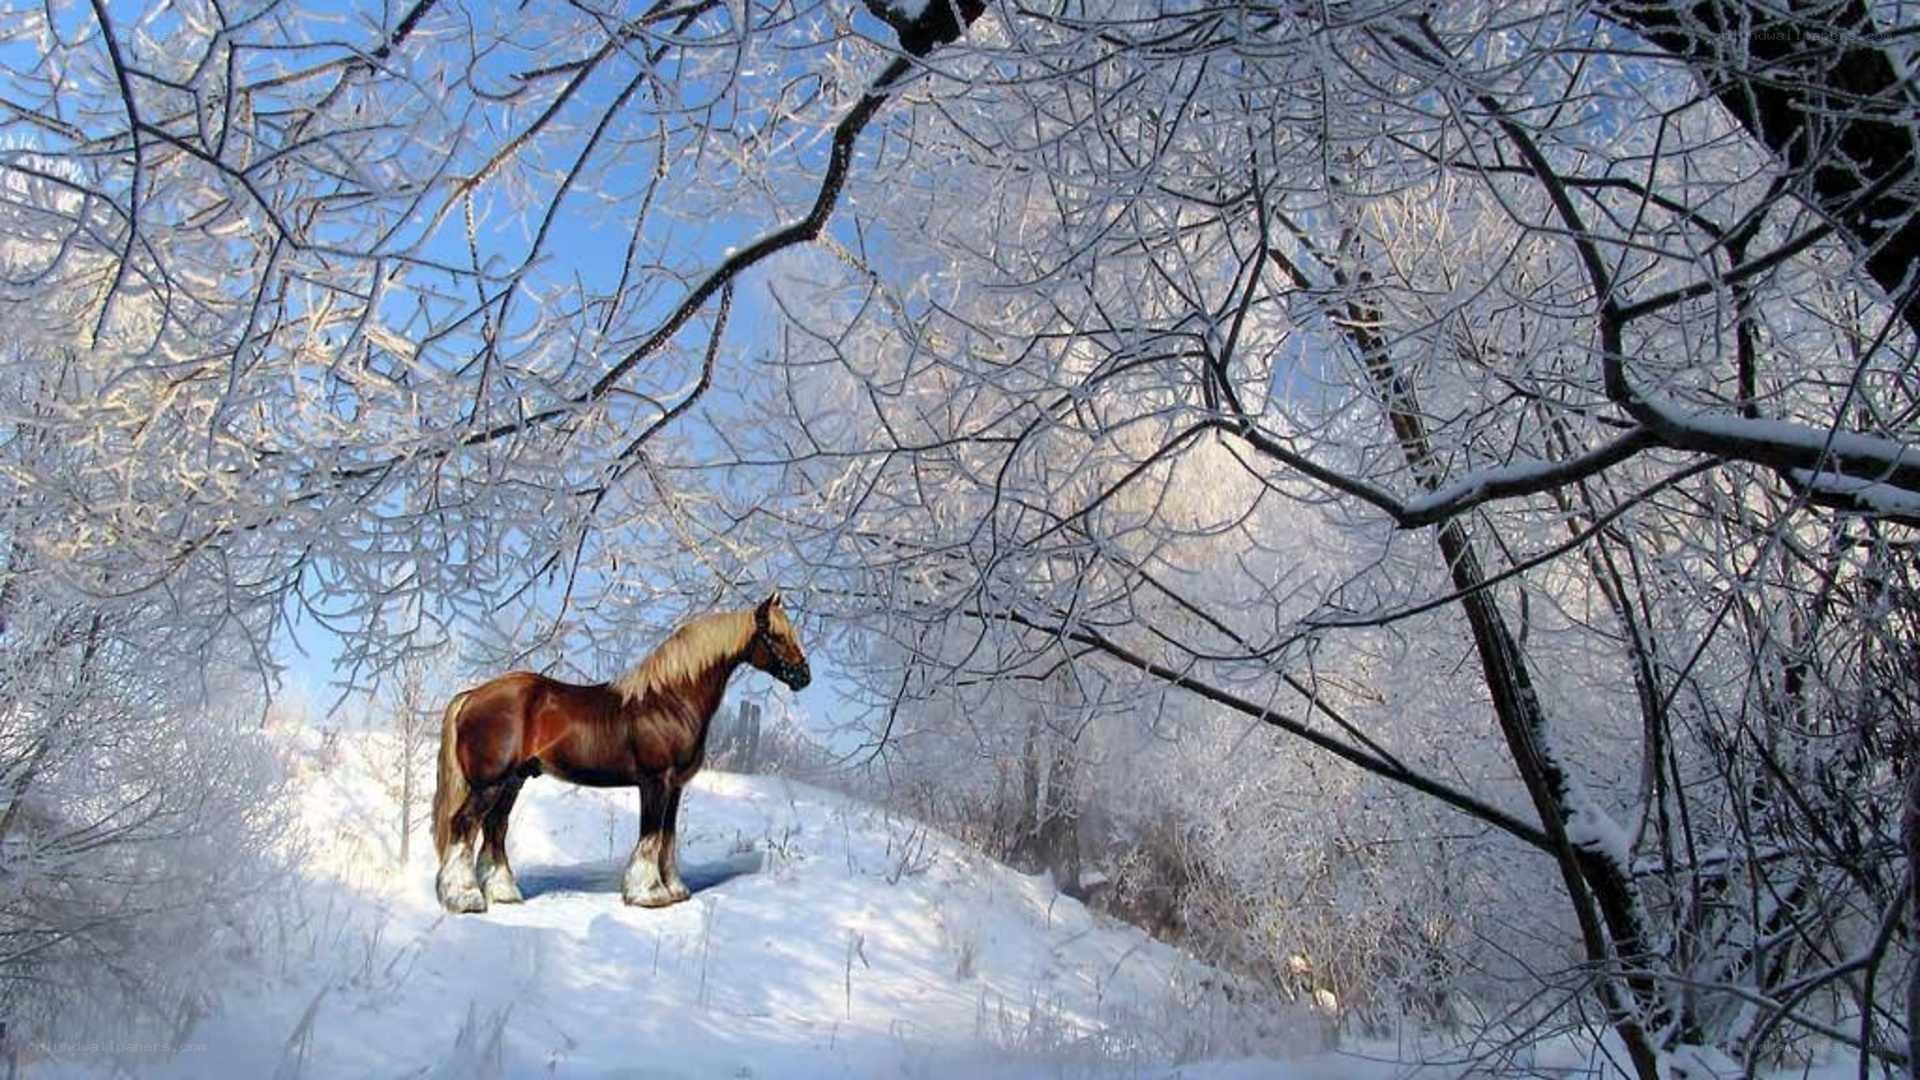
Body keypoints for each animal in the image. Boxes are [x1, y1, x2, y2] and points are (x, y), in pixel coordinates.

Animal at [430, 593, 810, 913]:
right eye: (775, 635)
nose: (803, 677)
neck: (671, 699)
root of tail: (472, 695)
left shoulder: (675, 786)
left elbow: (667, 837)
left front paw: (674, 890)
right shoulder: (656, 782)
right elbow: (651, 835)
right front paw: (649, 894)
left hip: (513, 781)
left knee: (495, 827)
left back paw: (504, 893)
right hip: (490, 783)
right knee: (464, 824)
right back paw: (464, 898)